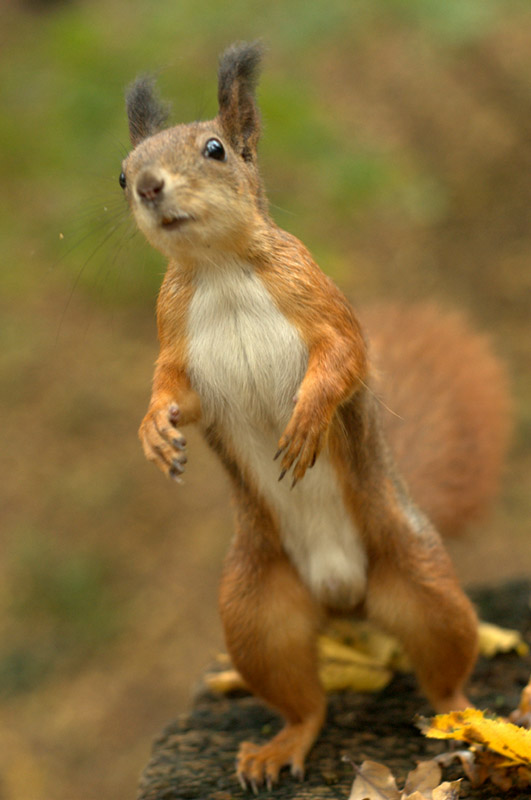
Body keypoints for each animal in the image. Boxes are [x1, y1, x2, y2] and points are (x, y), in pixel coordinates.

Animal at [120, 42, 512, 788]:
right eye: (122, 174)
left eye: (214, 149)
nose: (150, 187)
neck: (218, 269)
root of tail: (342, 599)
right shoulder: (176, 342)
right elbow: (172, 392)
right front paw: (153, 432)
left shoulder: (320, 300)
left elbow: (344, 359)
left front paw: (306, 418)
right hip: (255, 611)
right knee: (304, 702)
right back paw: (278, 748)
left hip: (422, 583)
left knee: (445, 665)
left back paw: (466, 719)